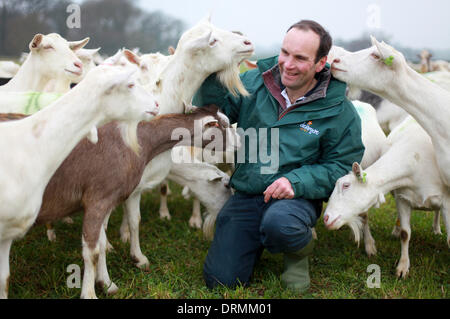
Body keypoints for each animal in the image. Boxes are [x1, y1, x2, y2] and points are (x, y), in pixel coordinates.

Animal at [0, 63, 158, 298]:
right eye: (130, 84)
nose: (156, 104)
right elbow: (92, 251)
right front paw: (91, 292)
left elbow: (4, 280)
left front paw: (106, 283)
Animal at [326, 117, 448, 278]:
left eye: (346, 185)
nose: (326, 218)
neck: (415, 158)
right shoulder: (402, 198)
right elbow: (405, 234)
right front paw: (402, 267)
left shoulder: (446, 202)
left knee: (436, 211)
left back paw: (436, 229)